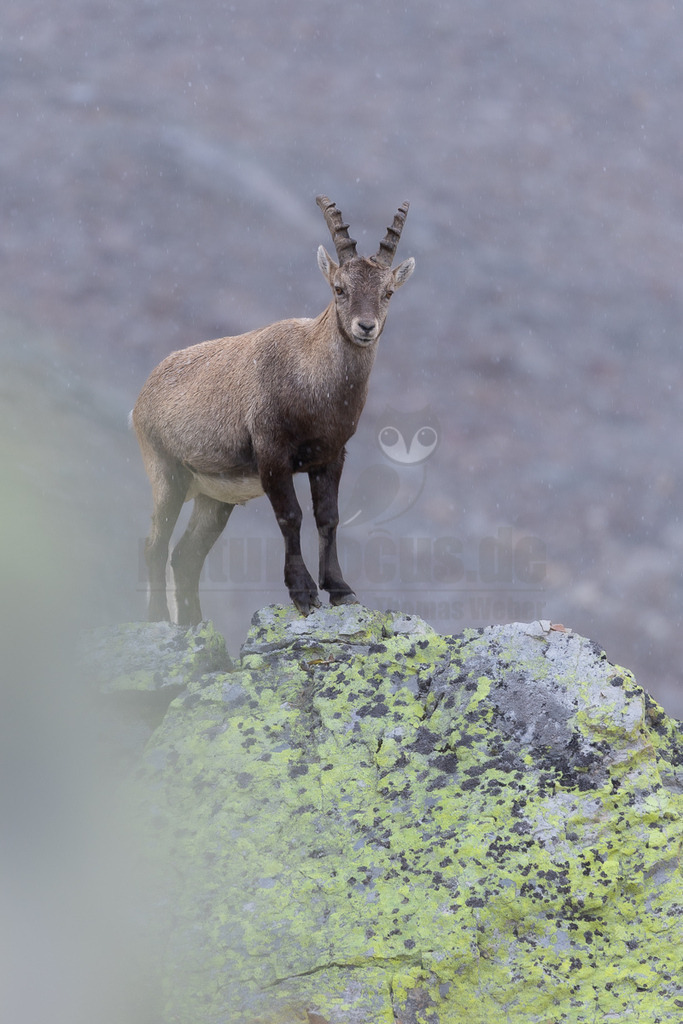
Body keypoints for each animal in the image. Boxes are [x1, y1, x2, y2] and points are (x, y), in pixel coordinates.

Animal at [132, 195, 415, 625]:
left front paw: (340, 589)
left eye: (389, 292)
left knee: (186, 556)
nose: (365, 327)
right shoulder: (272, 453)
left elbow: (328, 517)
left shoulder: (330, 456)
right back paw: (158, 619)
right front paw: (302, 592)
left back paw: (194, 623)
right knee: (155, 545)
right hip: (166, 473)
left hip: (214, 496)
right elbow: (291, 516)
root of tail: (143, 394)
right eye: (339, 288)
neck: (313, 382)